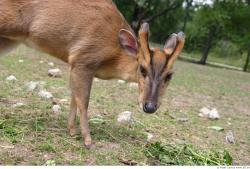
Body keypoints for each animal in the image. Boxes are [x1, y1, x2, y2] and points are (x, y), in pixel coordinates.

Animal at [0, 0, 184, 148]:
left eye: (170, 75)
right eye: (142, 69)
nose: (150, 107)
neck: (113, 55)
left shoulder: (75, 65)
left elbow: (74, 98)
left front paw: (72, 130)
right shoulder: (84, 59)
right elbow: (84, 101)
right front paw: (87, 140)